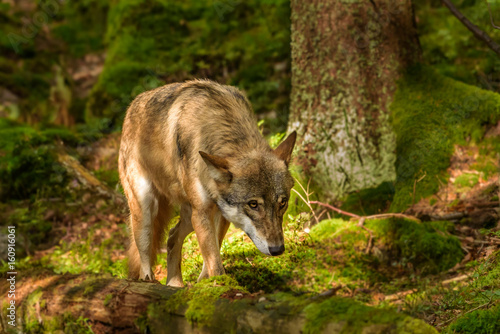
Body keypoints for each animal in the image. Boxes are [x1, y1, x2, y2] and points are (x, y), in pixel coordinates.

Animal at [118, 80, 294, 288]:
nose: (278, 249)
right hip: (146, 209)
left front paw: (205, 284)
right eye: (253, 204)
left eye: (282, 203)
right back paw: (149, 282)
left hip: (189, 215)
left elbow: (213, 254)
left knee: (172, 236)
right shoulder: (202, 213)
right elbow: (214, 261)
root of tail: (132, 106)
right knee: (144, 251)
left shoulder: (221, 214)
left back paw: (174, 284)